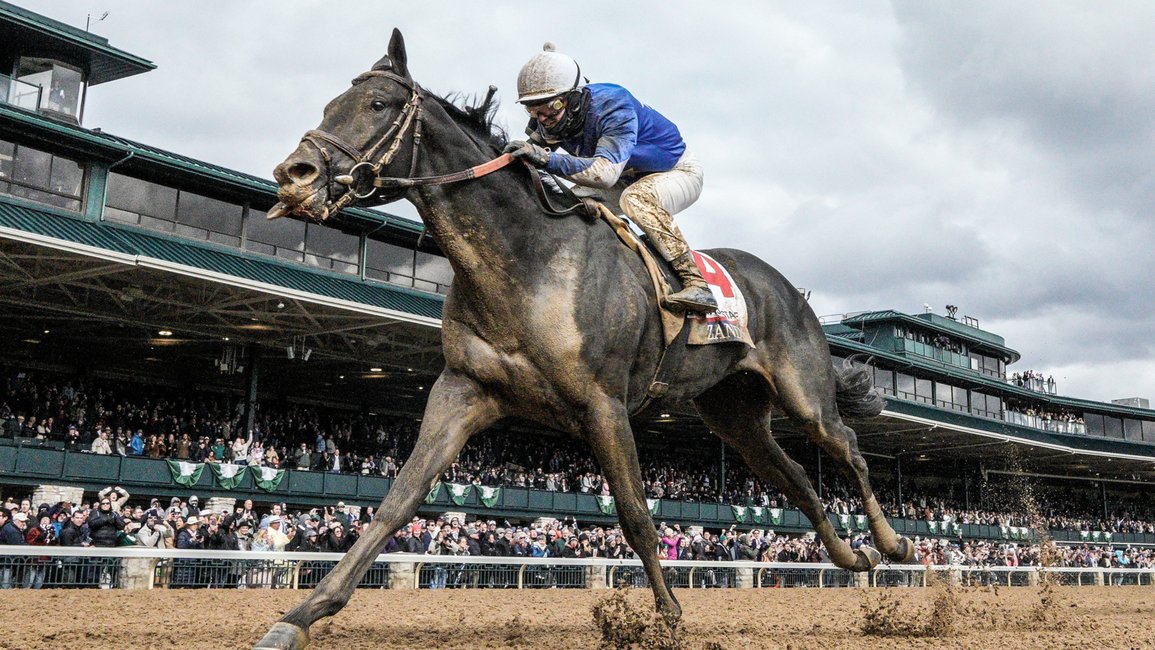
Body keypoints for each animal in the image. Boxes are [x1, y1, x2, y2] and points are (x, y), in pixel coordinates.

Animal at [255, 27, 910, 646]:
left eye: (378, 104)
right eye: (330, 103)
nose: (295, 174)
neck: (527, 260)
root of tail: (791, 291)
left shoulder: (604, 405)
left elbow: (636, 514)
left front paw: (667, 616)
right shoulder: (463, 390)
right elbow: (398, 500)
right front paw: (300, 616)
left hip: (804, 394)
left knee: (848, 448)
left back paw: (893, 543)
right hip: (735, 415)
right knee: (795, 477)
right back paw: (853, 555)